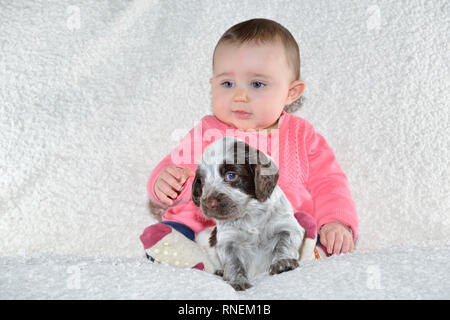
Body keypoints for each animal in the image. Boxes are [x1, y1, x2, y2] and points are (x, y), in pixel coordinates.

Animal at [193, 136, 306, 292]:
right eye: (202, 182)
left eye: (231, 175)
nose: (208, 203)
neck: (250, 213)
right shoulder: (228, 241)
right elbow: (234, 263)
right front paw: (237, 280)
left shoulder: (287, 226)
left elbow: (283, 244)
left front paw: (283, 262)